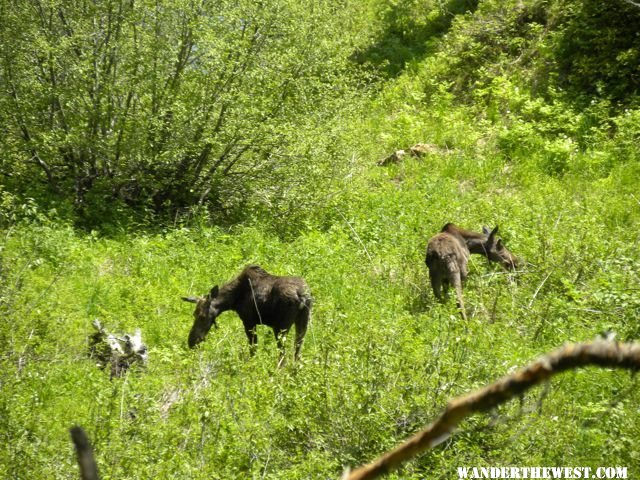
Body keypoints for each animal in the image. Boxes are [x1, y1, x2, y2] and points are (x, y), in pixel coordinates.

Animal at [180, 264, 312, 362]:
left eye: (202, 316)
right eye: (194, 314)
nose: (191, 342)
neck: (233, 300)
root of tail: (302, 295)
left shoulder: (249, 321)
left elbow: (253, 349)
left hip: (281, 327)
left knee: (283, 355)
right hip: (303, 322)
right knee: (297, 351)